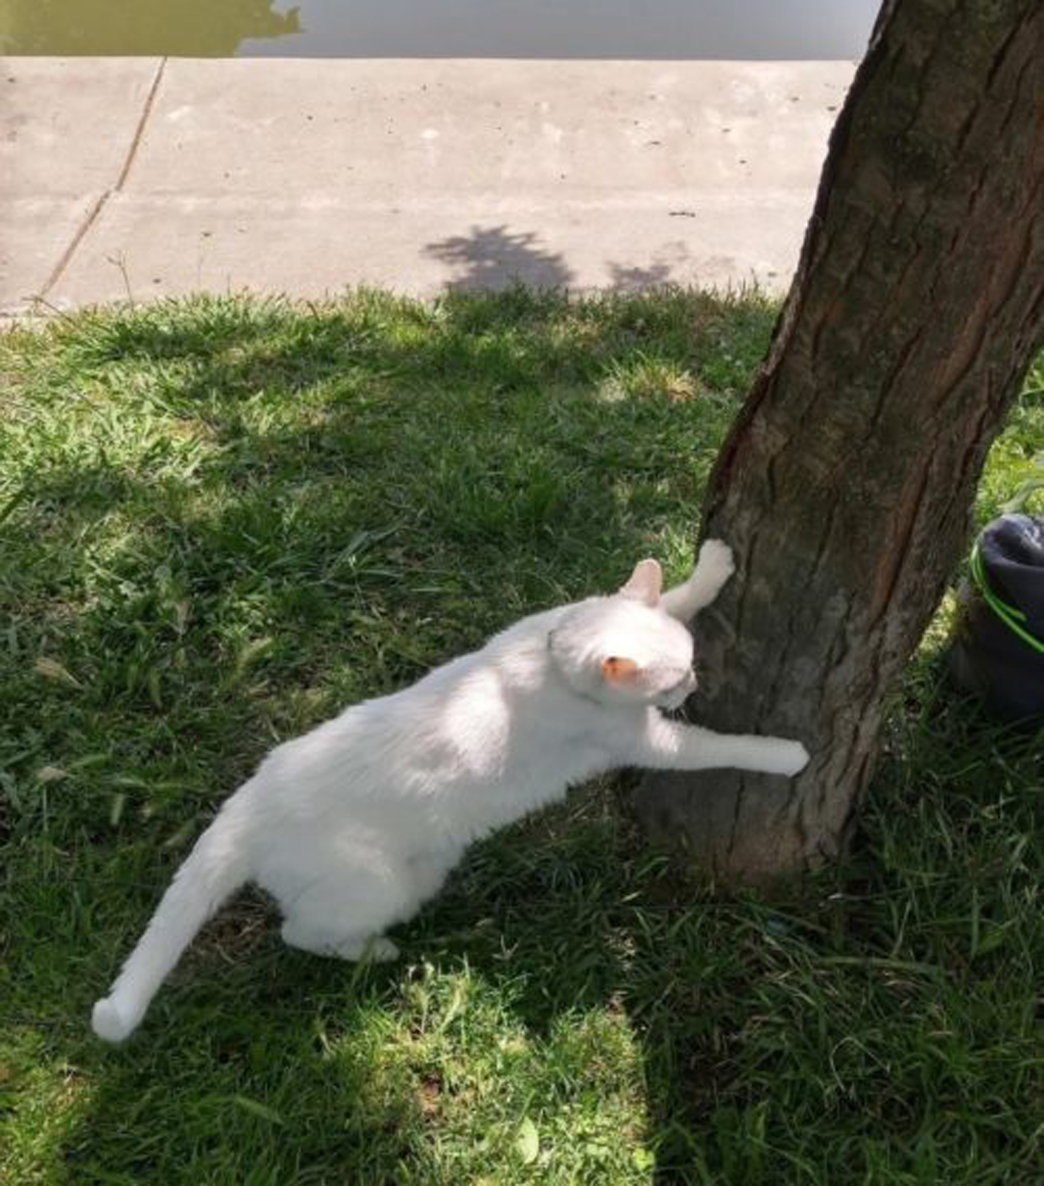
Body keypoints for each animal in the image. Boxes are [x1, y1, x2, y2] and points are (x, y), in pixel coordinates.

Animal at [91, 543, 806, 1043]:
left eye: (690, 665)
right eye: (676, 680)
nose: (693, 687)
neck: (549, 658)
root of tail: (249, 802)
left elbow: (679, 596)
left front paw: (713, 563)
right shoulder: (647, 743)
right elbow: (716, 747)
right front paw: (787, 754)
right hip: (386, 886)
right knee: (301, 933)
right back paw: (375, 952)